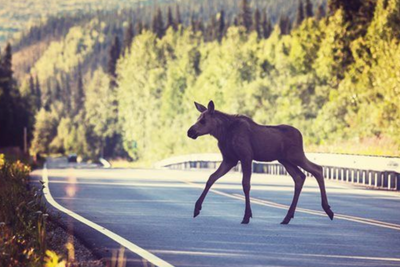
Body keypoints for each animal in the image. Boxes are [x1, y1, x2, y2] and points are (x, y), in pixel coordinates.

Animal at [188, 101, 334, 225]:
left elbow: (246, 185)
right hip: (285, 160)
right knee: (300, 177)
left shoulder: (246, 157)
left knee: (317, 169)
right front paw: (196, 208)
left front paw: (247, 216)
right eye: (197, 118)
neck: (222, 133)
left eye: (203, 120)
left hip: (296, 155)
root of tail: (300, 135)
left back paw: (328, 210)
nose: (190, 132)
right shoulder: (229, 159)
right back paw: (287, 217)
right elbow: (211, 178)